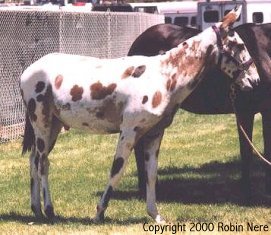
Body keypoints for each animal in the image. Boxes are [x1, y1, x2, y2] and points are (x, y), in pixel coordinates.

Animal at [129, 23, 271, 202]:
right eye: (238, 47)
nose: (253, 80)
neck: (264, 49)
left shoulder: (267, 112)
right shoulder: (245, 112)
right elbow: (246, 152)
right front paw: (246, 193)